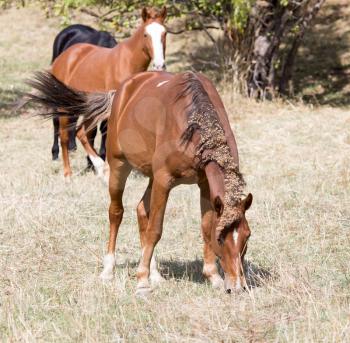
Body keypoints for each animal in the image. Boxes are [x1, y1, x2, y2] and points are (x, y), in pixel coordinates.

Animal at [26, 70, 253, 296]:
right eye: (220, 238)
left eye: (247, 236)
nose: (237, 287)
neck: (193, 123)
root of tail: (122, 90)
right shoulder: (164, 180)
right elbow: (155, 230)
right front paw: (142, 281)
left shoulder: (204, 184)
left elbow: (204, 226)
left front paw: (212, 275)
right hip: (119, 166)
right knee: (116, 213)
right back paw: (109, 270)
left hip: (150, 176)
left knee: (141, 211)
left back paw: (155, 274)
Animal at [50, 24, 117, 164]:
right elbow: (92, 131)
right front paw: (91, 160)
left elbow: (103, 129)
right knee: (56, 120)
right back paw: (55, 152)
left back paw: (71, 146)